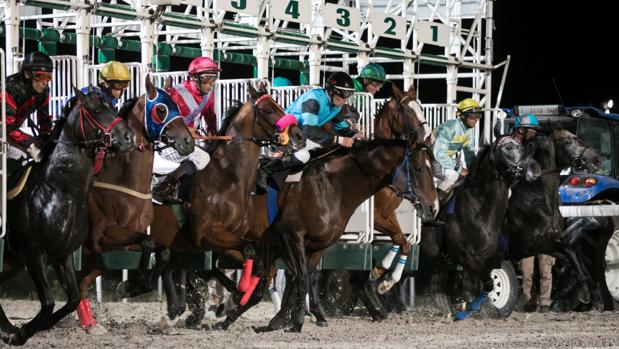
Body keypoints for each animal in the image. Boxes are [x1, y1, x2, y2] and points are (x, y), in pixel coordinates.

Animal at [1, 88, 133, 344]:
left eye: (113, 106)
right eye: (96, 109)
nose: (128, 137)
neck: (62, 192)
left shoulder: (63, 255)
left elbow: (72, 299)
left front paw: (33, 328)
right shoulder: (34, 253)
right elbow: (49, 302)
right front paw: (22, 333)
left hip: (10, 263)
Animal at [504, 128, 600, 304]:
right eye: (568, 141)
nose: (596, 158)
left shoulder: (550, 243)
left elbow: (572, 256)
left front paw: (590, 291)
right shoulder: (532, 245)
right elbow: (569, 249)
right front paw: (584, 290)